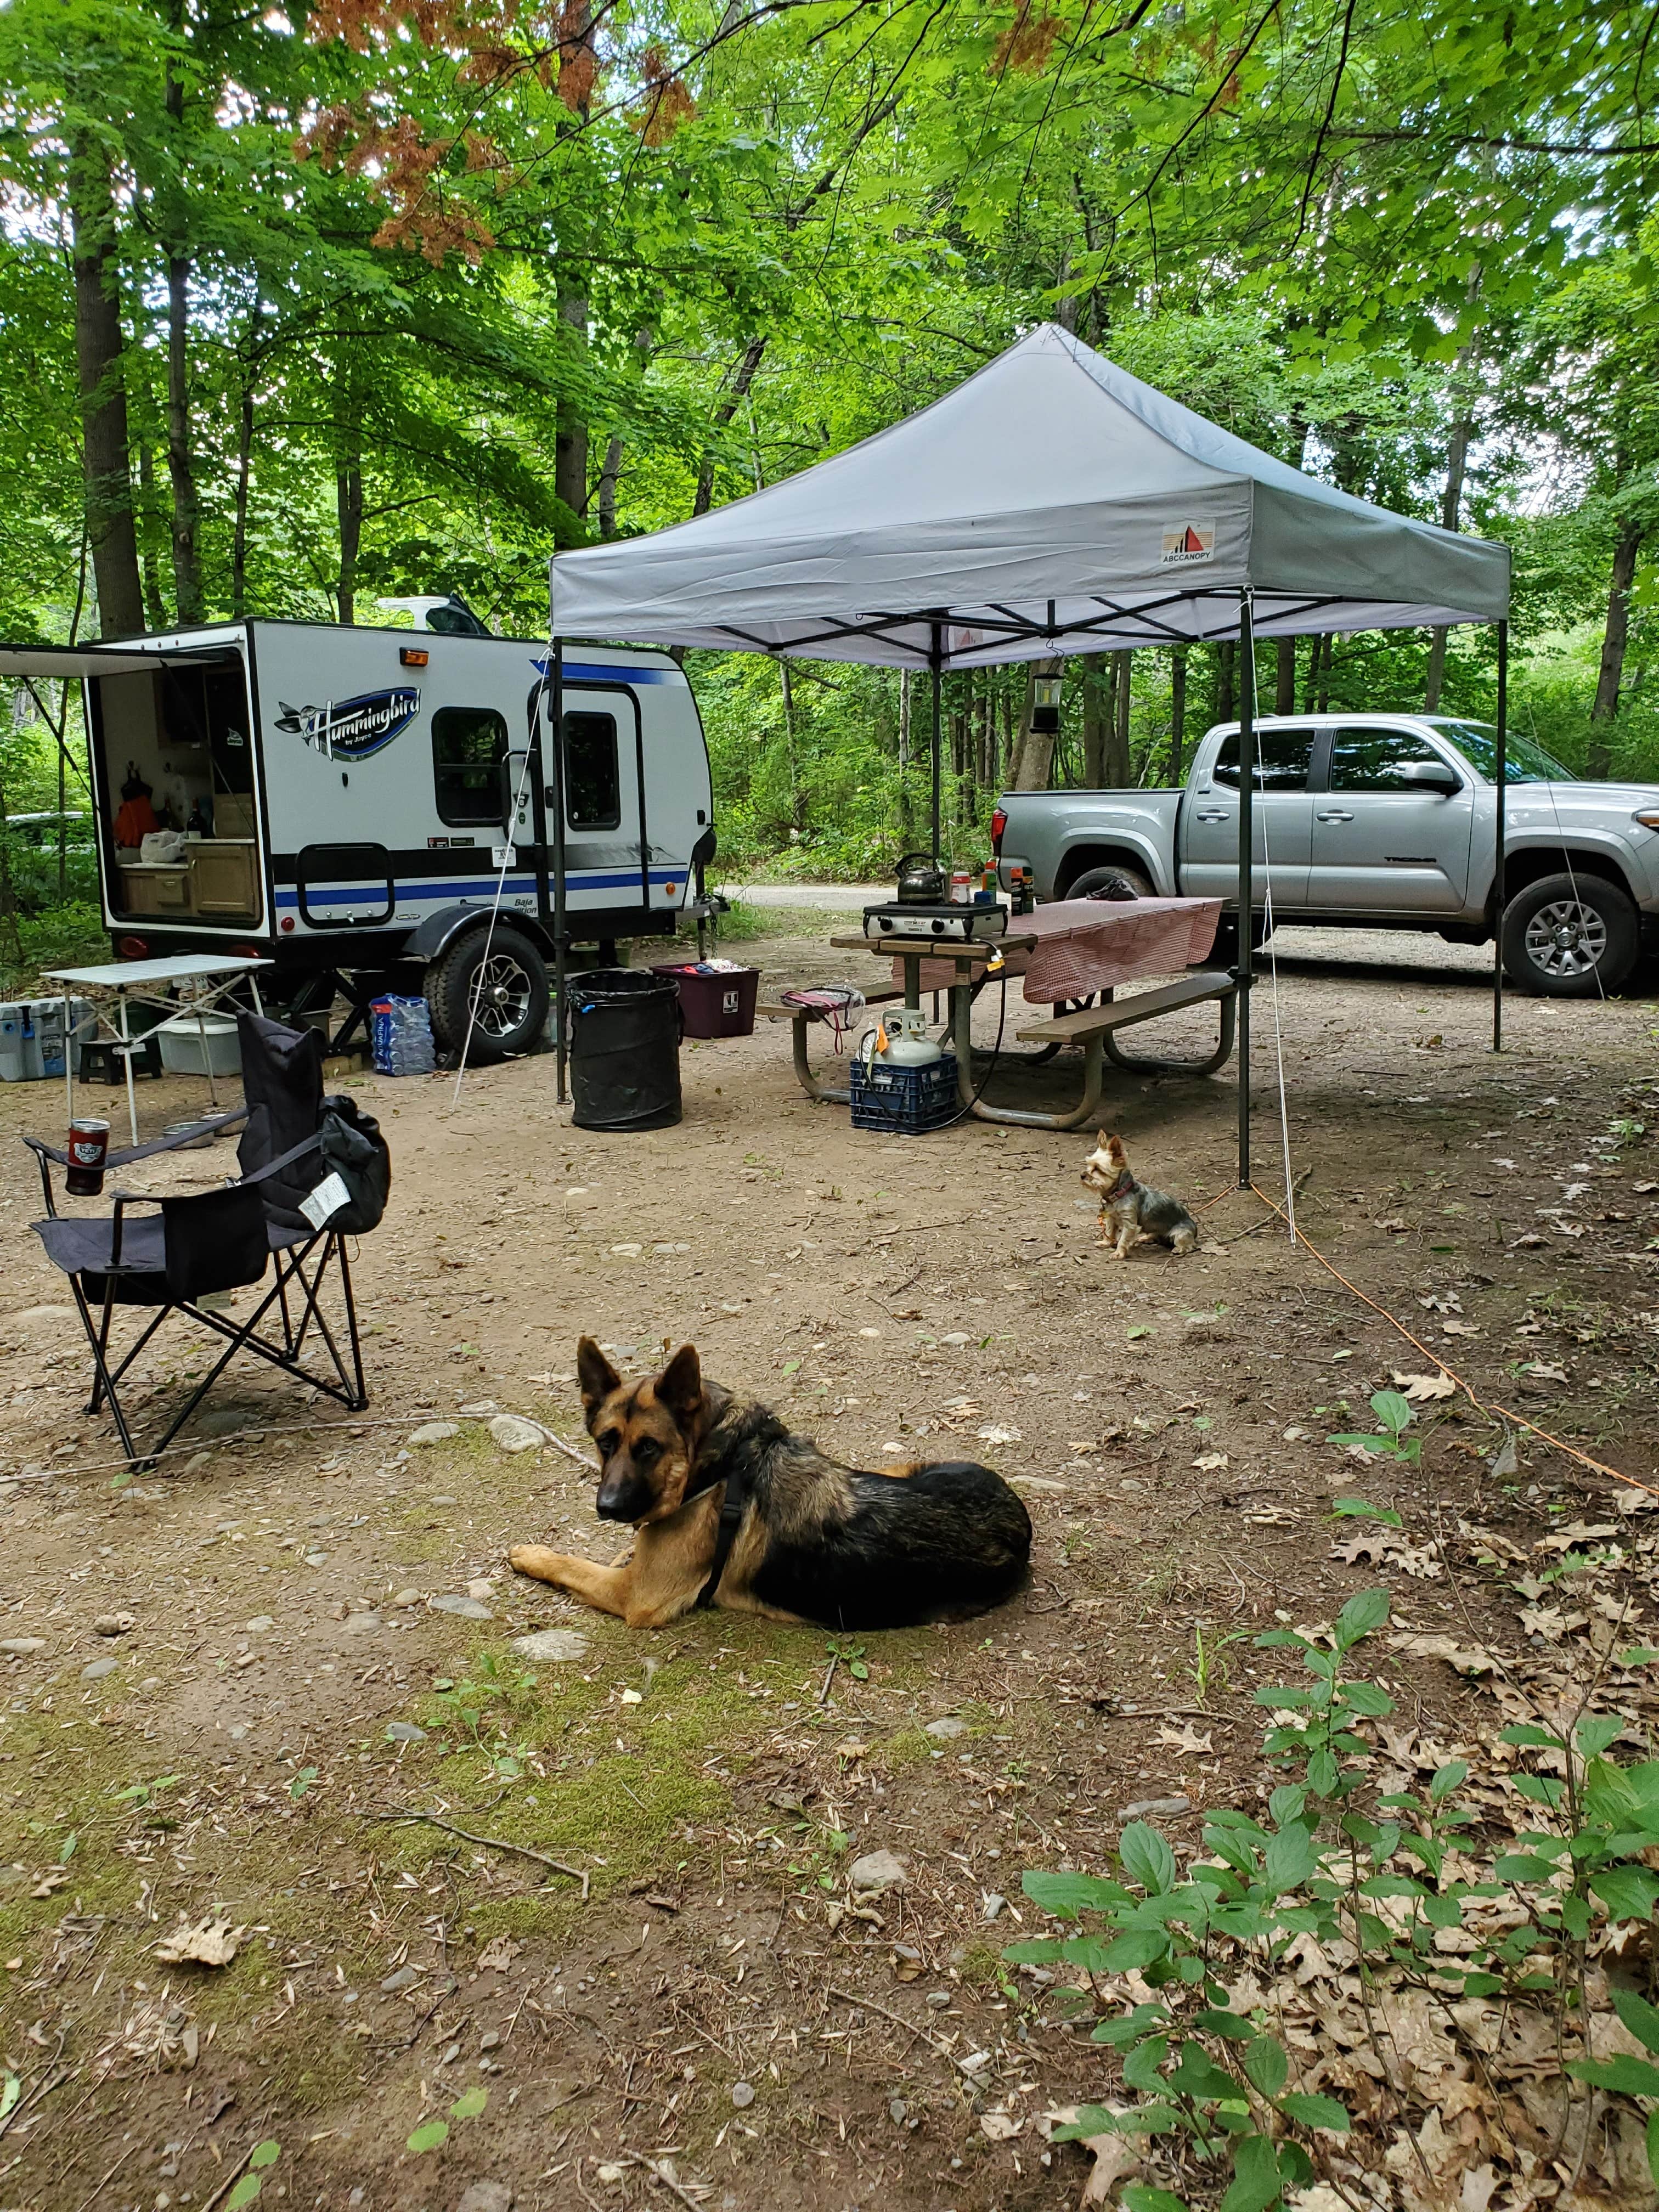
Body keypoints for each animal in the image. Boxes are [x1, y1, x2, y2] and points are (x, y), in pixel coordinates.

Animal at [506, 1336, 1035, 1637]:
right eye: (605, 1443)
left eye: (649, 1448)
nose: (608, 1506)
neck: (720, 1463)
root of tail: (1018, 1519)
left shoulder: (635, 1596)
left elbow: (571, 1565)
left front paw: (532, 1554)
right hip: (892, 1470)